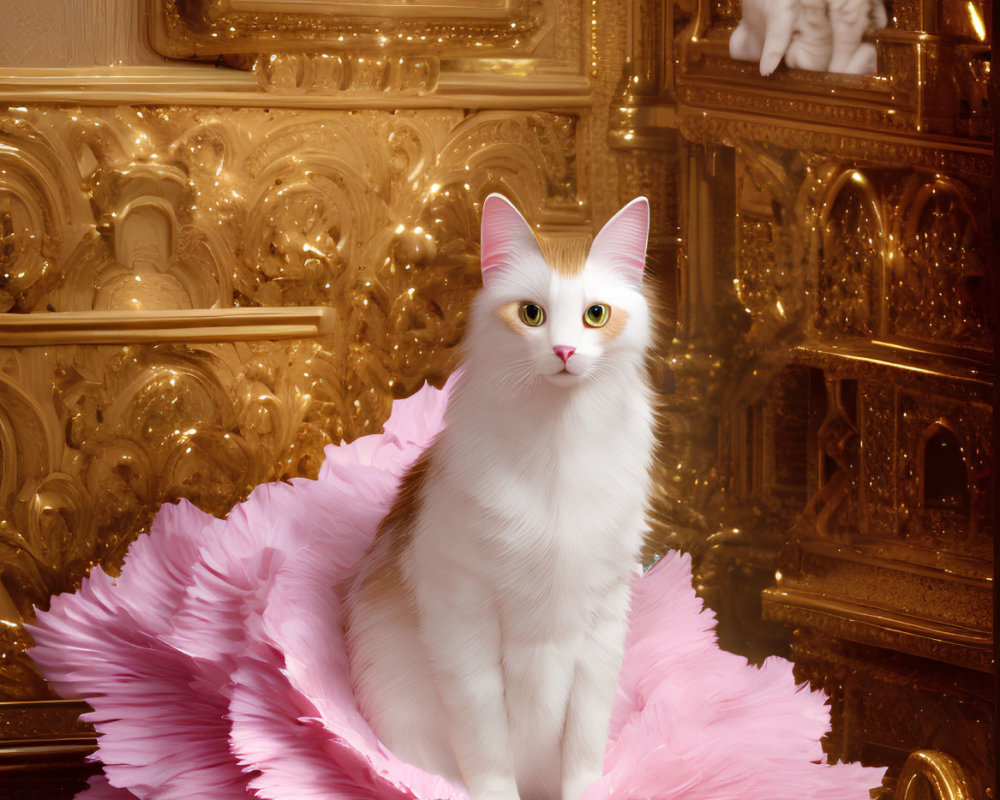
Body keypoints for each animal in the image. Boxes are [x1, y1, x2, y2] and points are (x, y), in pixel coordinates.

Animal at [344, 195, 656, 800]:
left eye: (596, 315)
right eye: (531, 314)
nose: (564, 349)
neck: (558, 444)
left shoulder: (604, 621)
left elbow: (583, 746)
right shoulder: (463, 617)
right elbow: (487, 750)